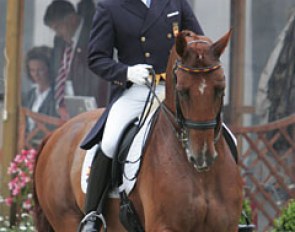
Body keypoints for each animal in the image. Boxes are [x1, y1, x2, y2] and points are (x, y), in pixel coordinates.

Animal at [33, 30, 244, 232]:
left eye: (220, 88)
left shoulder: (226, 227)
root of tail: (56, 133)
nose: (202, 157)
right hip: (66, 218)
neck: (202, 177)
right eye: (182, 90)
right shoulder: (163, 226)